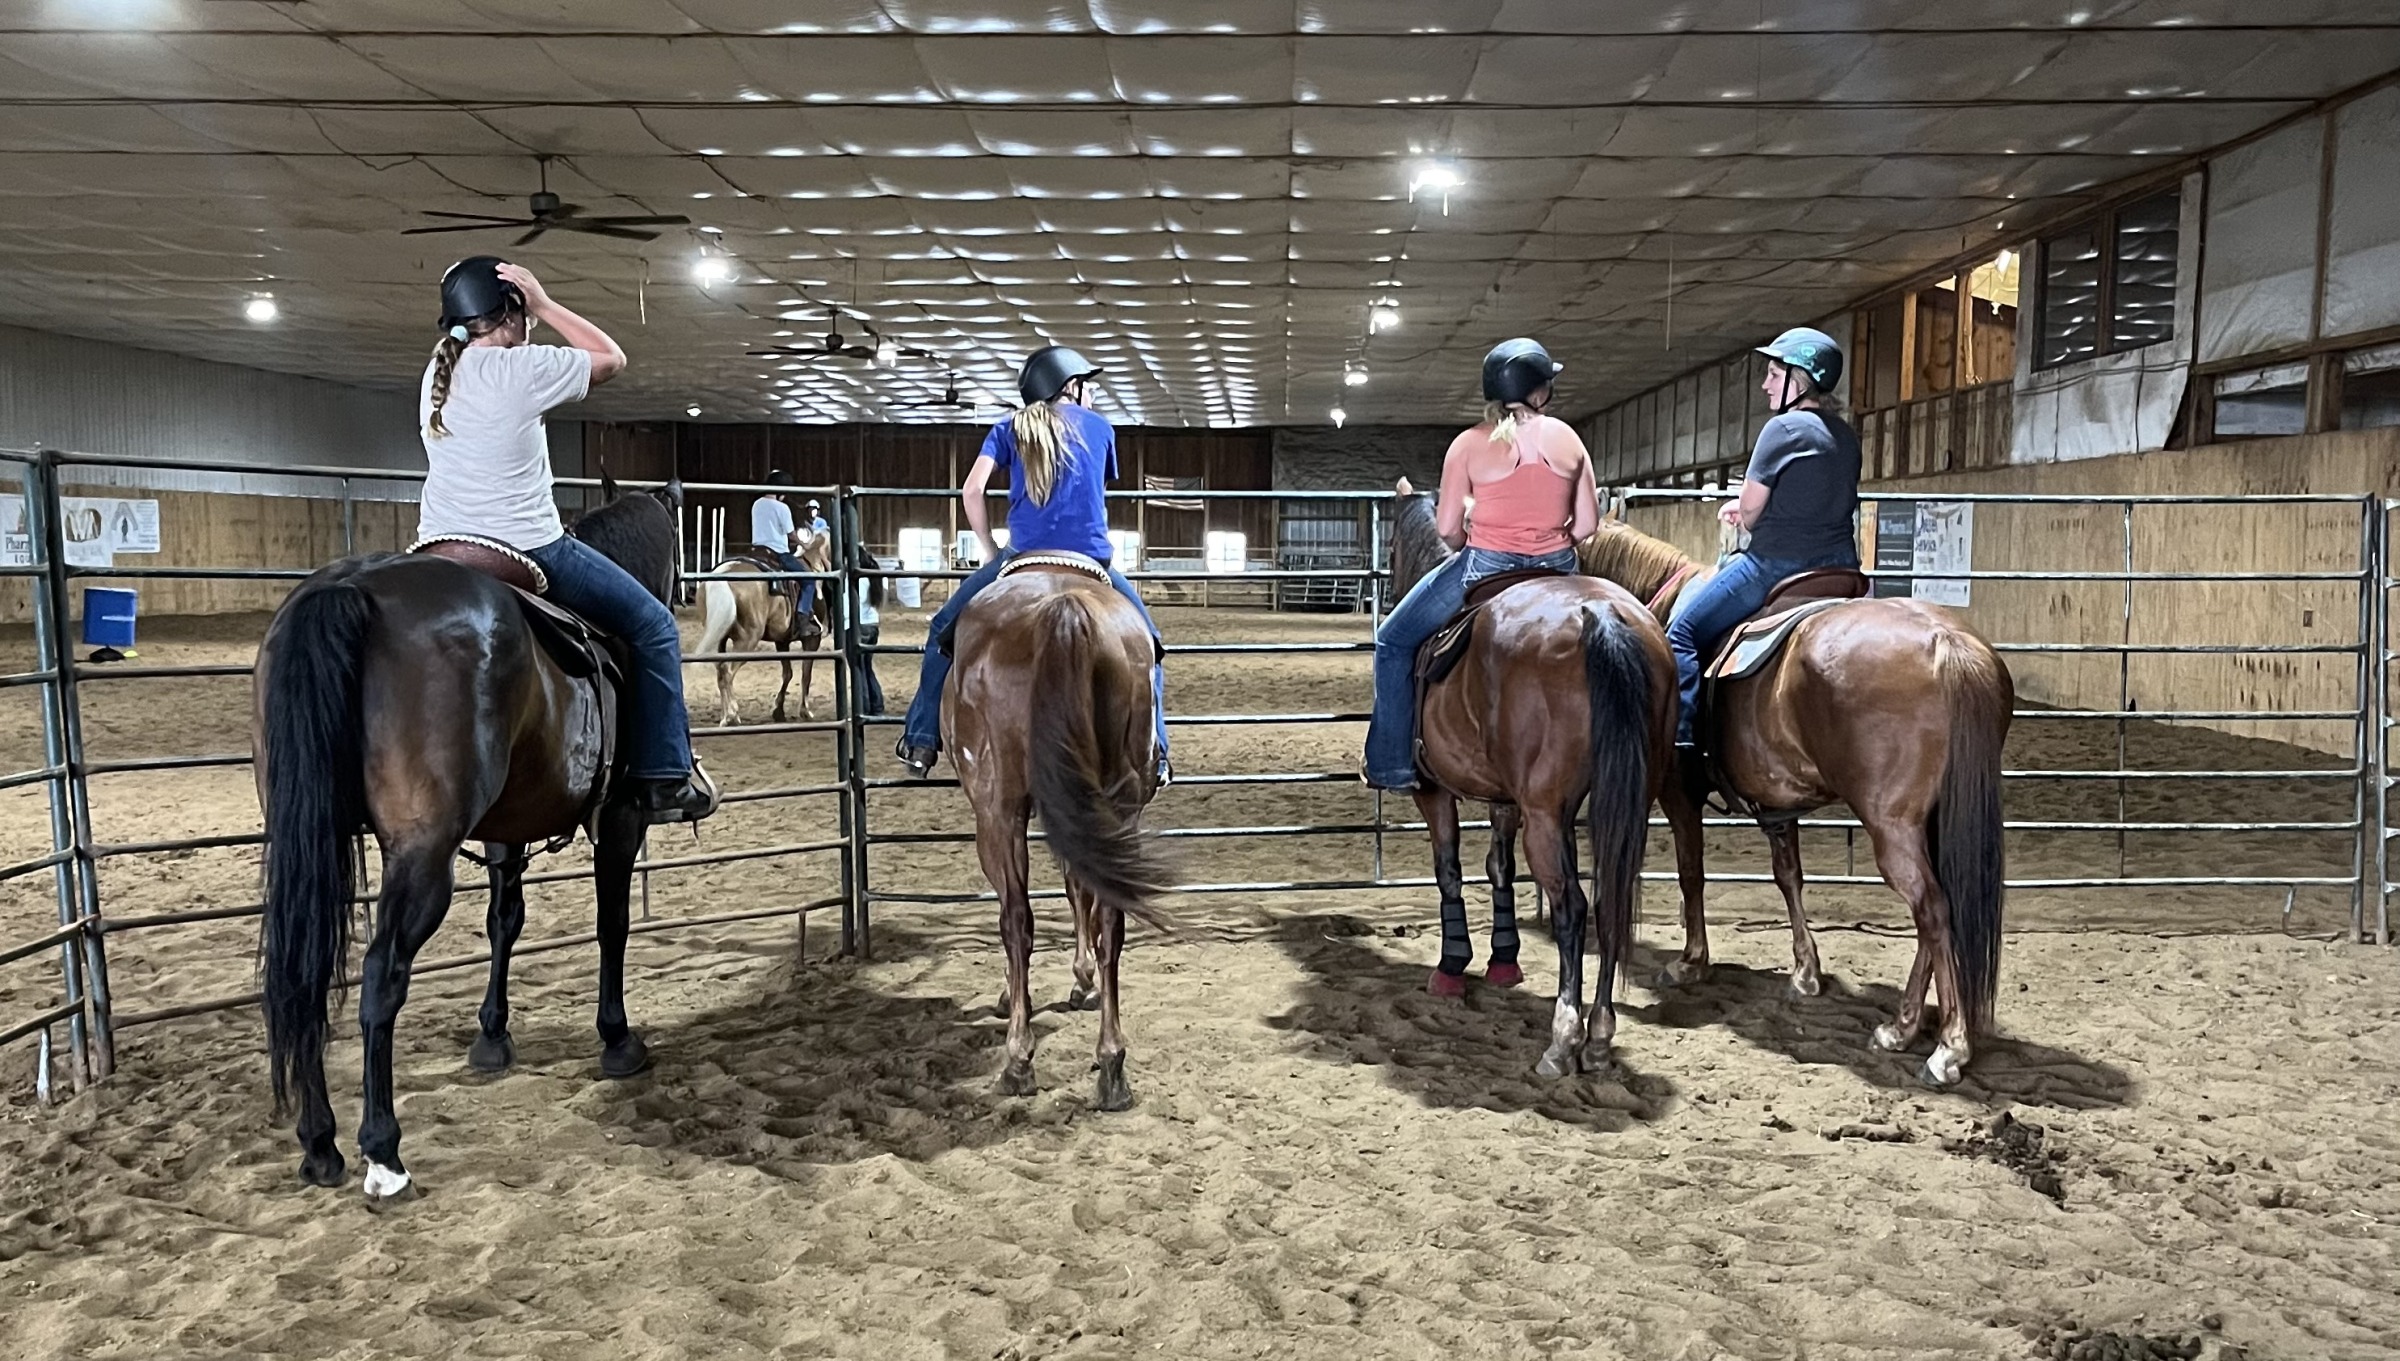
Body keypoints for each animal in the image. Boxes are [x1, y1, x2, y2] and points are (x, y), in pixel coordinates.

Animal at [254, 472, 681, 1200]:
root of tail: (354, 586)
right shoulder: (621, 818)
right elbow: (612, 924)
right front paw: (617, 1038)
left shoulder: (507, 830)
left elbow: (503, 921)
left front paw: (493, 1035)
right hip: (423, 853)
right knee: (382, 975)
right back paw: (383, 1153)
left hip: (304, 841)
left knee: (303, 972)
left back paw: (319, 1144)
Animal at [696, 518, 835, 724]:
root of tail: (723, 576)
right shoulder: (812, 639)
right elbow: (806, 674)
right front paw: (805, 711)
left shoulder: (782, 640)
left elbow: (788, 673)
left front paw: (779, 710)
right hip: (747, 639)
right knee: (728, 671)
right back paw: (733, 714)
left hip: (718, 638)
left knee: (720, 671)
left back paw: (725, 716)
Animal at [945, 559, 1171, 1113]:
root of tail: (1064, 609)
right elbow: (1078, 889)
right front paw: (1083, 978)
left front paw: (1015, 996)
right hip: (1115, 799)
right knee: (1112, 918)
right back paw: (1112, 1066)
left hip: (999, 810)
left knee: (1016, 921)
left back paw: (1018, 1060)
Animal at [1382, 484, 1680, 1080]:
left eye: (1391, 548)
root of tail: (1600, 614)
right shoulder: (1507, 799)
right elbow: (1499, 866)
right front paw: (1503, 960)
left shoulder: (1434, 791)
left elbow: (1448, 870)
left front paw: (1451, 967)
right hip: (1620, 804)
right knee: (1609, 903)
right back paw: (1600, 1035)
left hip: (1547, 813)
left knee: (1572, 907)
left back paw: (1564, 1040)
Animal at [1584, 506, 2016, 1089]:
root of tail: (1947, 643)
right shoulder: (1777, 803)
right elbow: (1788, 876)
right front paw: (1806, 972)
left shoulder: (1679, 793)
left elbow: (1691, 871)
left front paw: (1692, 961)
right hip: (1932, 821)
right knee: (1936, 912)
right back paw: (1901, 1028)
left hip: (1892, 827)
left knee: (1932, 909)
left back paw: (1947, 1047)